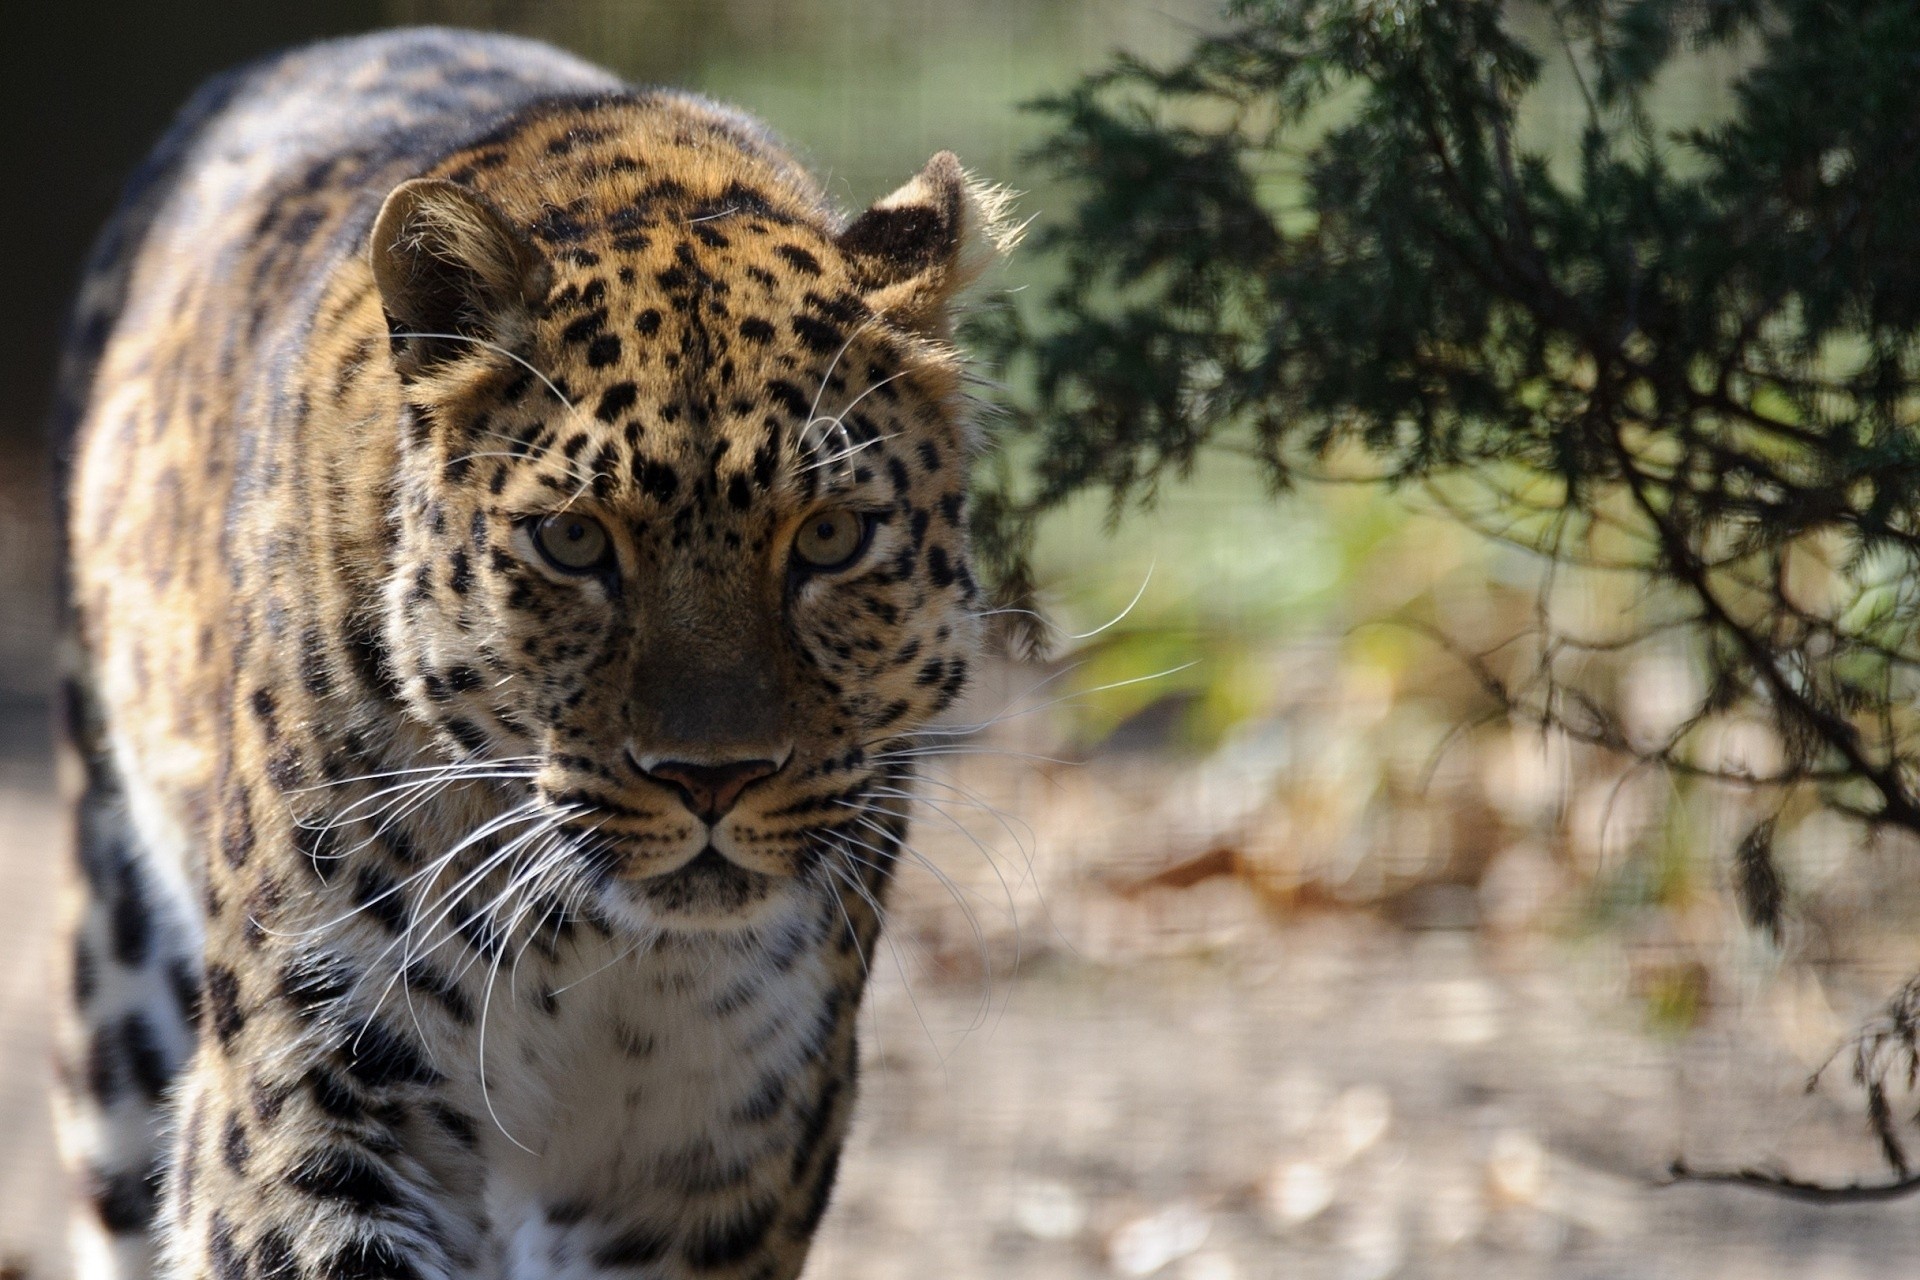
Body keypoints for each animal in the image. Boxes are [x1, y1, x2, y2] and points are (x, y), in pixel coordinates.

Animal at [51, 27, 1009, 1280]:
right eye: (574, 540)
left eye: (831, 537)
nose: (713, 778)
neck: (609, 953)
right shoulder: (312, 1088)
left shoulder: (722, 1149)